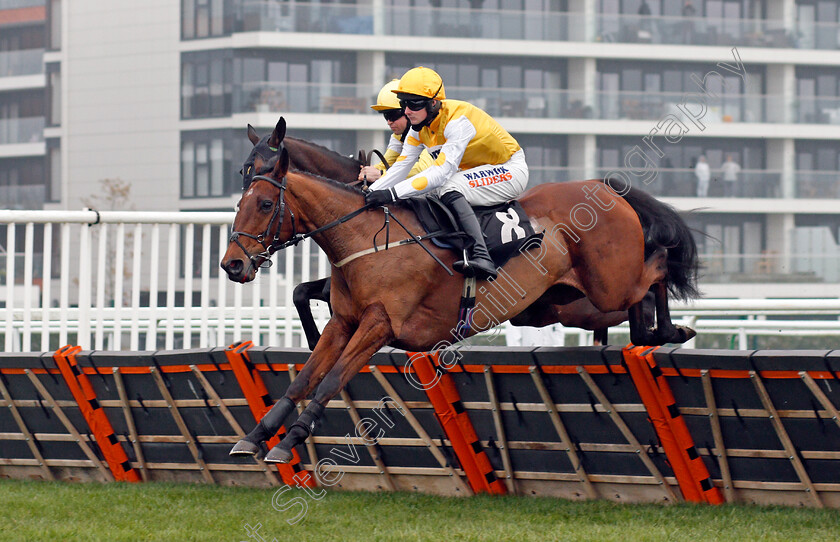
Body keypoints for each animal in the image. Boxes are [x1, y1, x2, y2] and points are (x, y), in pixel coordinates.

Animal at [220, 123, 700, 464]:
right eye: (242, 183)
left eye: (265, 203)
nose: (233, 264)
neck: (364, 236)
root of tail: (605, 186)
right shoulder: (345, 321)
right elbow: (304, 375)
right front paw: (256, 436)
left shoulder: (379, 325)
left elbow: (331, 379)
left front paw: (289, 441)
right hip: (563, 303)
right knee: (638, 308)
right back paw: (658, 333)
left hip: (608, 287)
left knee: (657, 265)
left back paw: (673, 329)